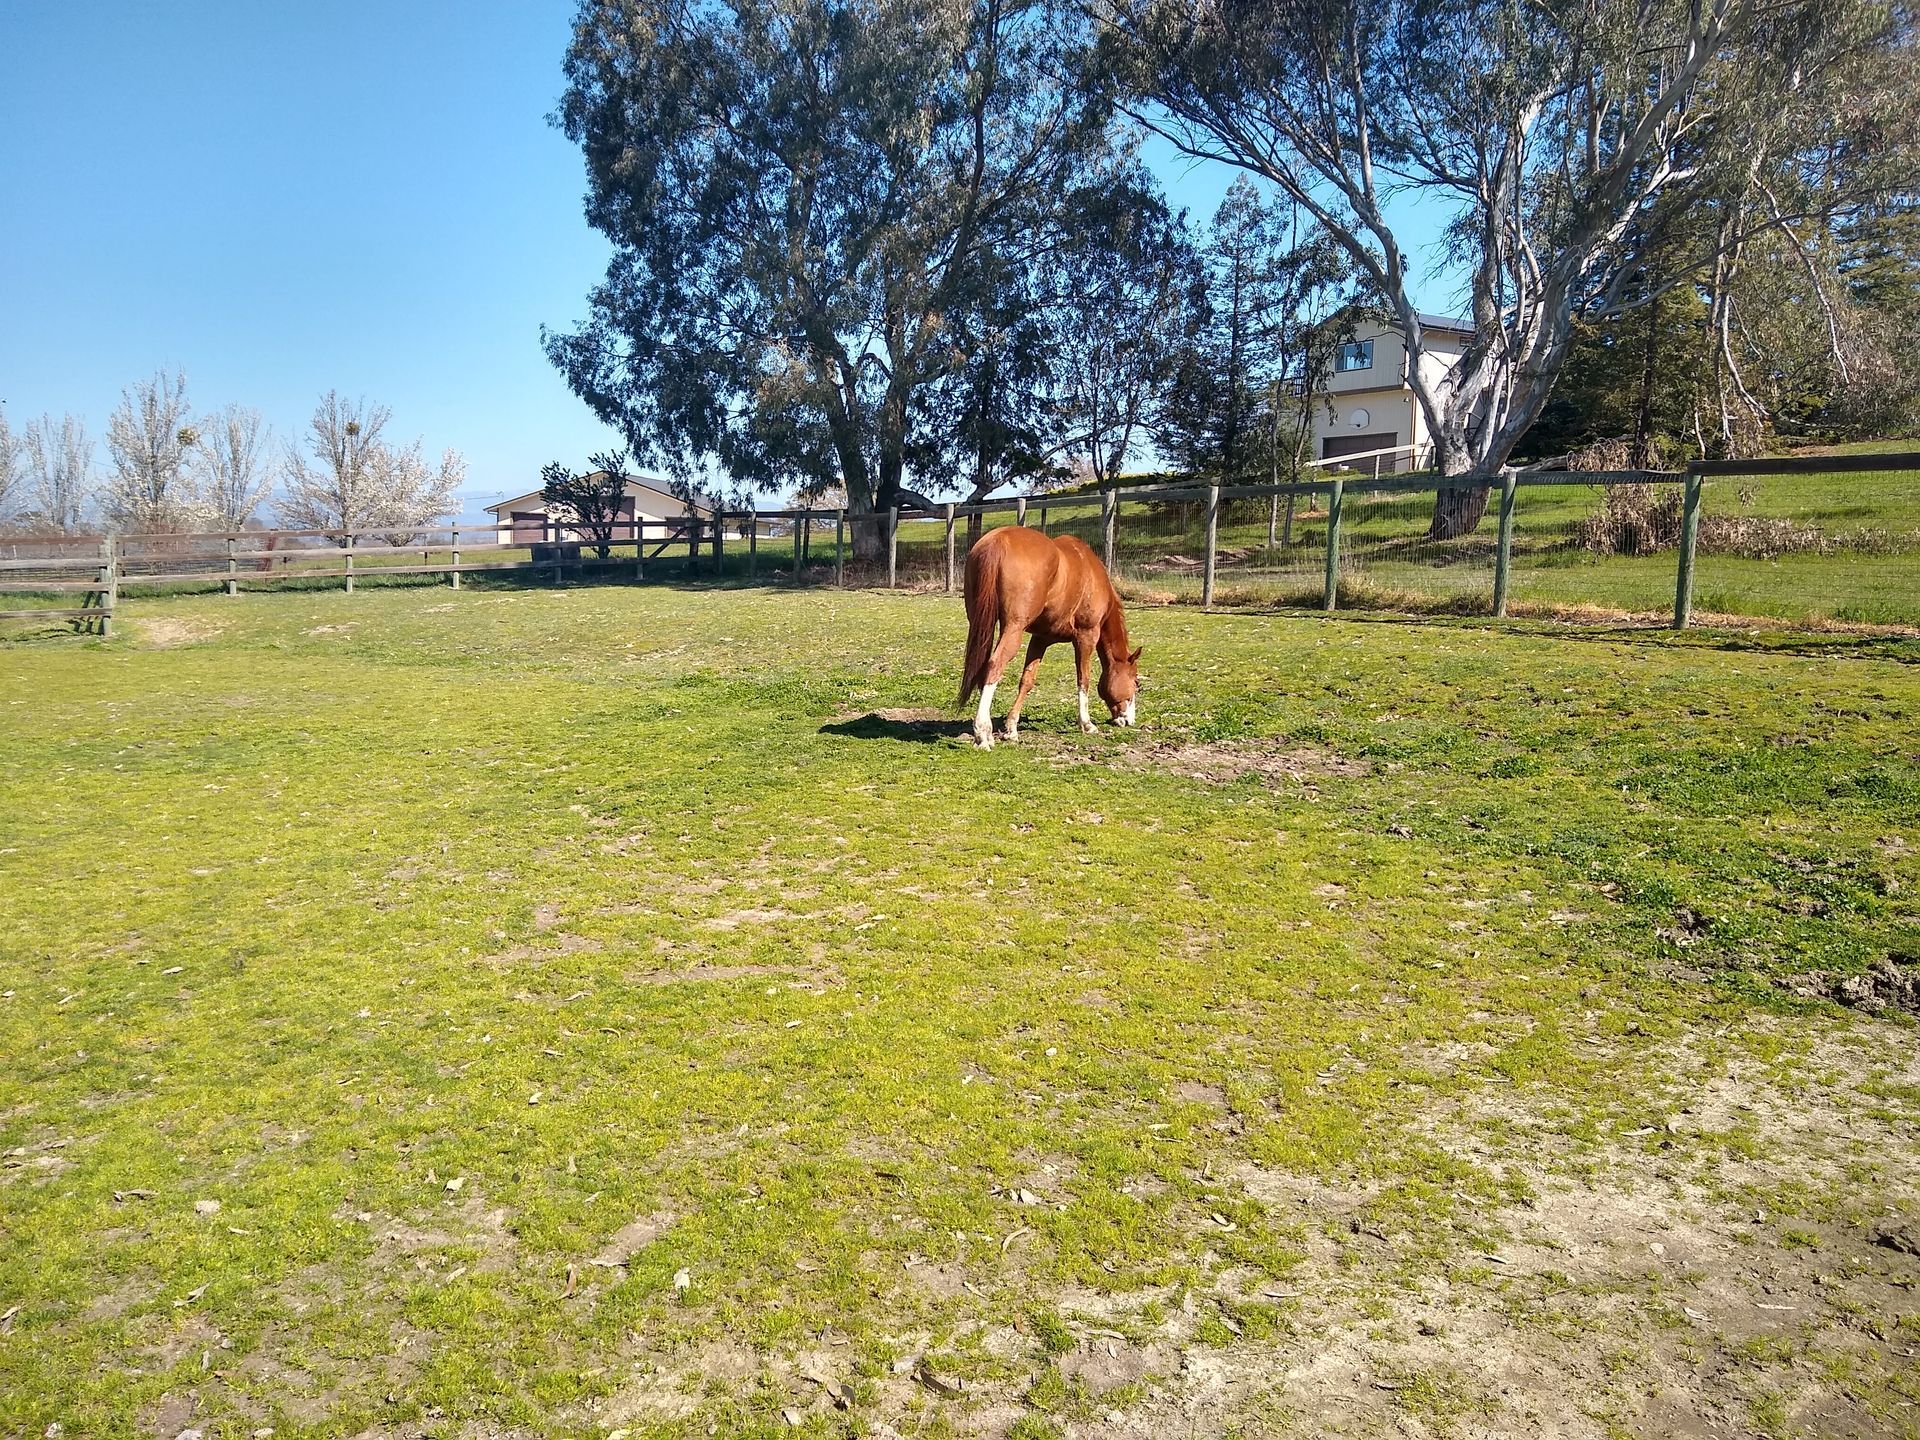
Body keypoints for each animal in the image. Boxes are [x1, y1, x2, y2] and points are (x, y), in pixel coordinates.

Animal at [956, 526, 1142, 749]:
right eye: (1136, 682)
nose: (1129, 720)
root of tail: (997, 541)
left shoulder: (1040, 639)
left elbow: (1027, 680)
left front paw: (1011, 729)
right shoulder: (1086, 636)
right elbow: (1084, 679)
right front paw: (1087, 724)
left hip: (980, 623)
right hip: (1013, 630)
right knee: (994, 666)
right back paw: (982, 733)